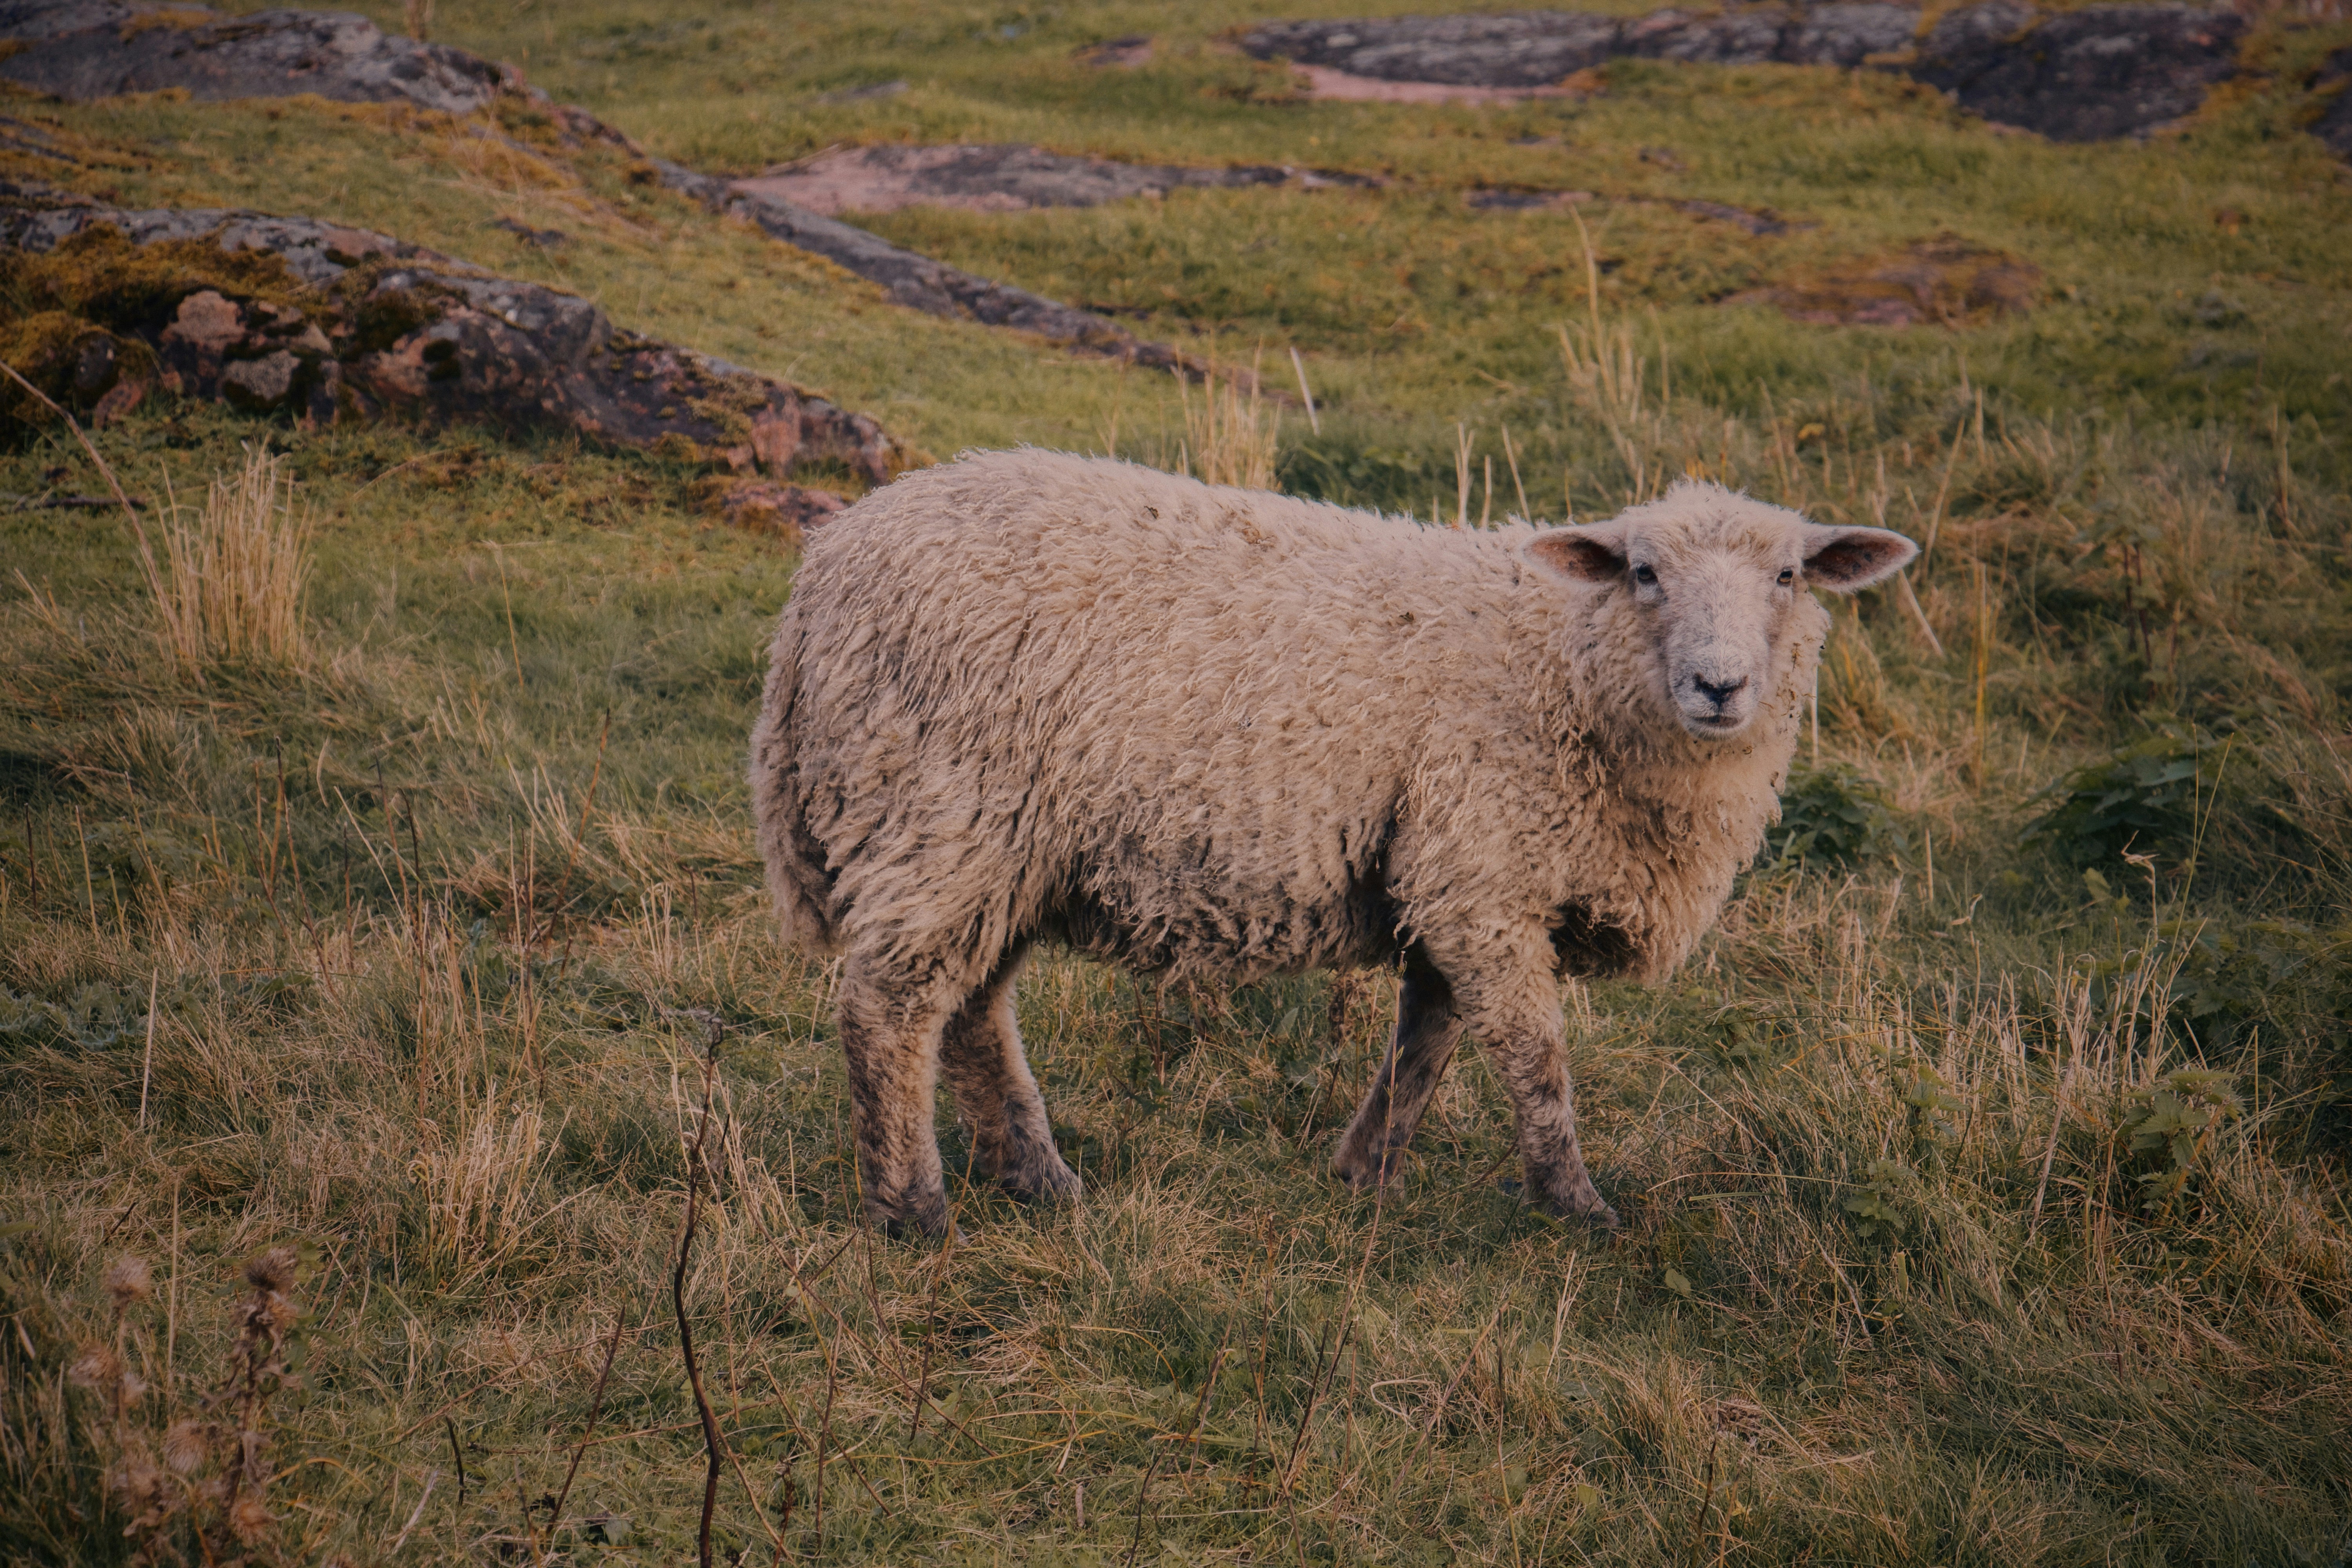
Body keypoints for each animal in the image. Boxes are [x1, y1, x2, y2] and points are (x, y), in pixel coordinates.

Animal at [751, 448, 1915, 1236]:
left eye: (1789, 577)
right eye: (1641, 572)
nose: (1720, 685)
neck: (1563, 660)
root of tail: (821, 577)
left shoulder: (1447, 872)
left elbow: (1427, 1042)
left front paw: (1366, 1173)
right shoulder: (1482, 863)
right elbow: (1533, 1057)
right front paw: (1575, 1204)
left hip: (1010, 847)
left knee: (974, 1014)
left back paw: (1042, 1181)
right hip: (942, 809)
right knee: (892, 1007)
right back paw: (911, 1206)